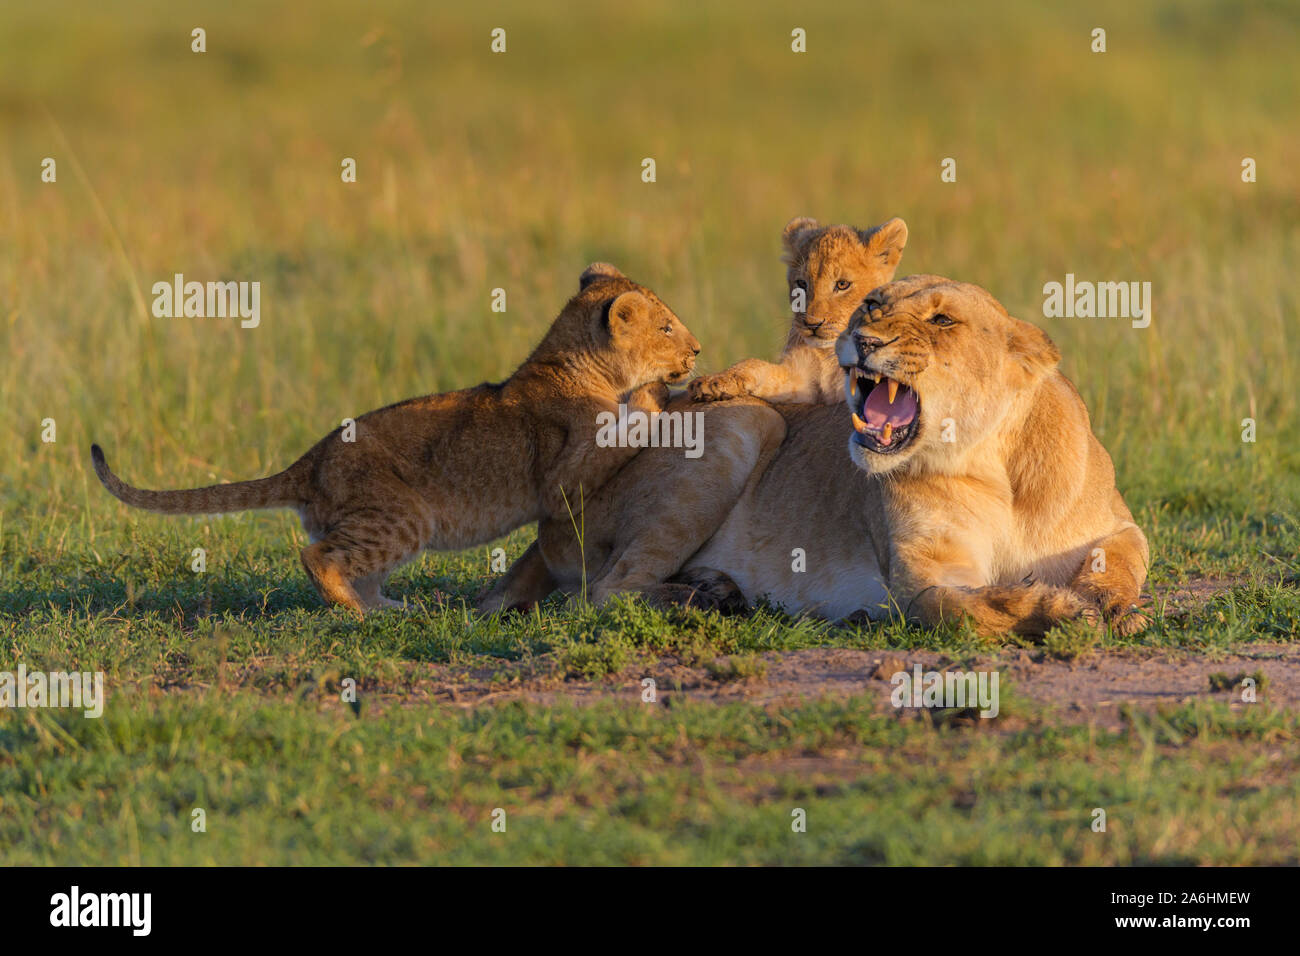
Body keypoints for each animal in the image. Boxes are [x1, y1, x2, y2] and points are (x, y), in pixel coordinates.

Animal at [93, 263, 701, 615]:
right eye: (667, 327)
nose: (697, 351)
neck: (579, 366)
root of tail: (310, 460)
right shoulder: (560, 482)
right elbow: (620, 432)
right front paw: (656, 397)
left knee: (356, 567)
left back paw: (391, 608)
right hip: (404, 515)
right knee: (317, 555)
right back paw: (359, 615)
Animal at [482, 275, 1148, 638]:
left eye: (941, 319)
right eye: (874, 304)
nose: (863, 333)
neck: (994, 464)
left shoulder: (1117, 524)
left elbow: (1122, 560)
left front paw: (1115, 609)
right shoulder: (919, 576)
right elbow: (961, 609)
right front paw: (1057, 611)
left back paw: (719, 589)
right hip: (746, 421)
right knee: (606, 592)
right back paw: (707, 602)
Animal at [688, 216, 908, 404]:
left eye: (843, 284)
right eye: (801, 284)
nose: (812, 324)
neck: (827, 354)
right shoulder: (803, 382)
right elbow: (756, 365)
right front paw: (713, 382)